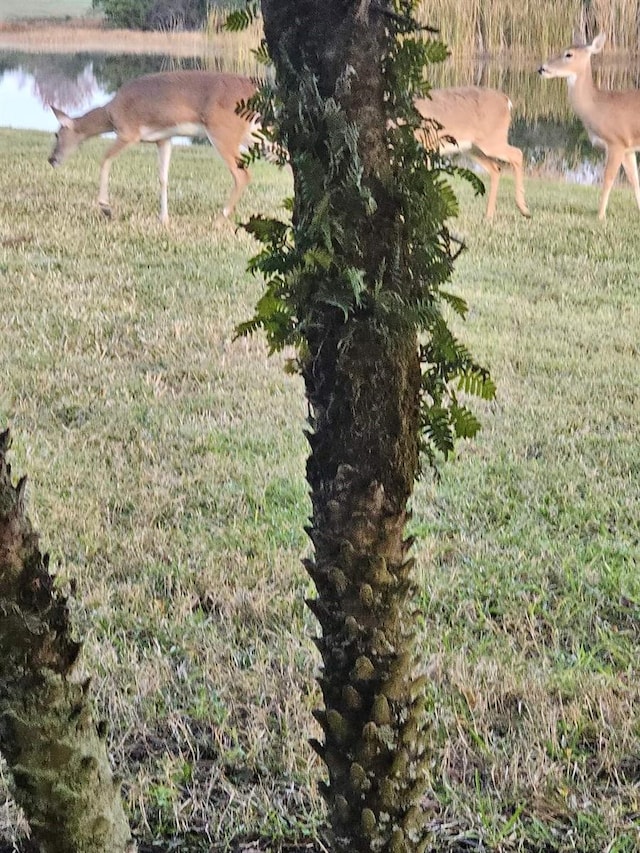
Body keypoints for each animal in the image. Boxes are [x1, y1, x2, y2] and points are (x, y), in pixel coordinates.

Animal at [48, 70, 260, 223]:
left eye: (57, 134)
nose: (51, 159)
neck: (110, 113)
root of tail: (254, 91)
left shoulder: (129, 132)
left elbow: (105, 158)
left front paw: (105, 207)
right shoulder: (164, 139)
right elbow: (163, 178)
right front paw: (164, 219)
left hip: (223, 132)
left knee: (242, 175)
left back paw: (218, 220)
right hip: (254, 134)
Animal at [416, 85, 528, 220]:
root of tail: (506, 100)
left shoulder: (426, 146)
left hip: (491, 140)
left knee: (517, 153)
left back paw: (524, 209)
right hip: (472, 147)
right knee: (496, 168)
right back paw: (489, 215)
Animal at [540, 32, 640, 220]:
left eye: (568, 54)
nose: (541, 68)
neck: (596, 107)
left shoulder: (616, 142)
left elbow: (608, 179)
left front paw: (600, 216)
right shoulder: (628, 147)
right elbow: (634, 180)